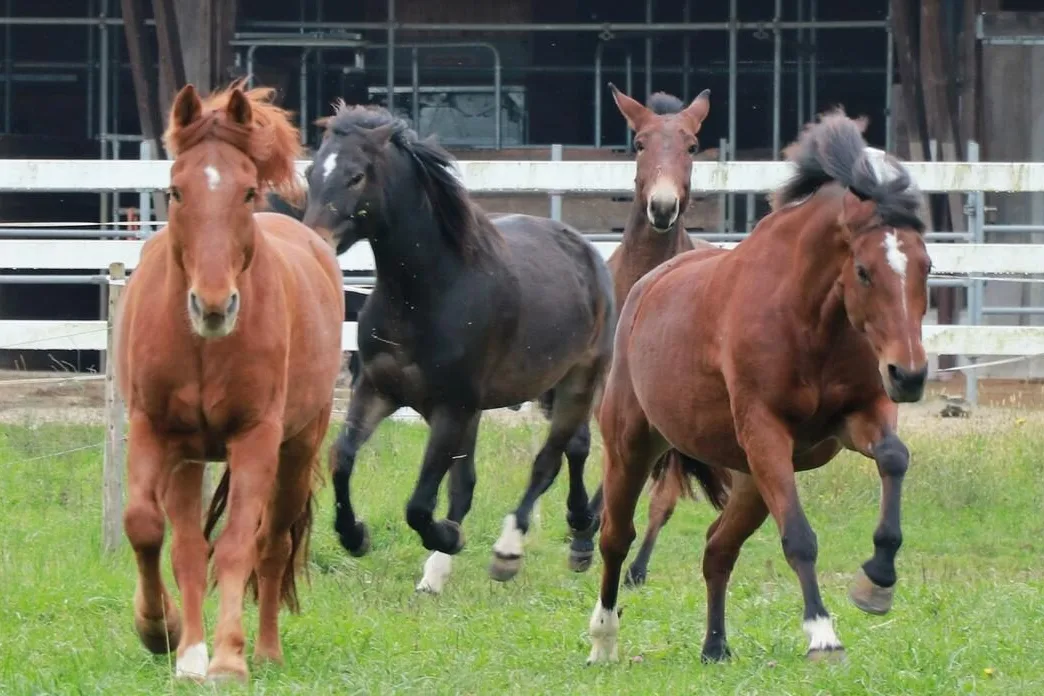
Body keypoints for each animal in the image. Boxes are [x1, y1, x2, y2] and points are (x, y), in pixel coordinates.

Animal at [116, 82, 344, 683]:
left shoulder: (256, 438)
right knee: (189, 547)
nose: (213, 305)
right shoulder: (154, 429)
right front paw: (163, 632)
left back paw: (264, 650)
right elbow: (148, 528)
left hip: (296, 448)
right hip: (189, 457)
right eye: (175, 190)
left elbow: (240, 543)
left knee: (272, 545)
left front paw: (228, 659)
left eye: (246, 193)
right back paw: (189, 648)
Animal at [299, 100, 615, 594]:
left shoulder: (452, 407)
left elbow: (420, 504)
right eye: (311, 171)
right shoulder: (379, 389)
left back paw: (511, 551)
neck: (424, 293)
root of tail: (585, 249)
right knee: (572, 449)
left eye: (356, 175)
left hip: (579, 380)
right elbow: (343, 457)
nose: (314, 242)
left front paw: (447, 537)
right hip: (541, 388)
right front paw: (355, 536)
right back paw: (575, 536)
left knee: (547, 461)